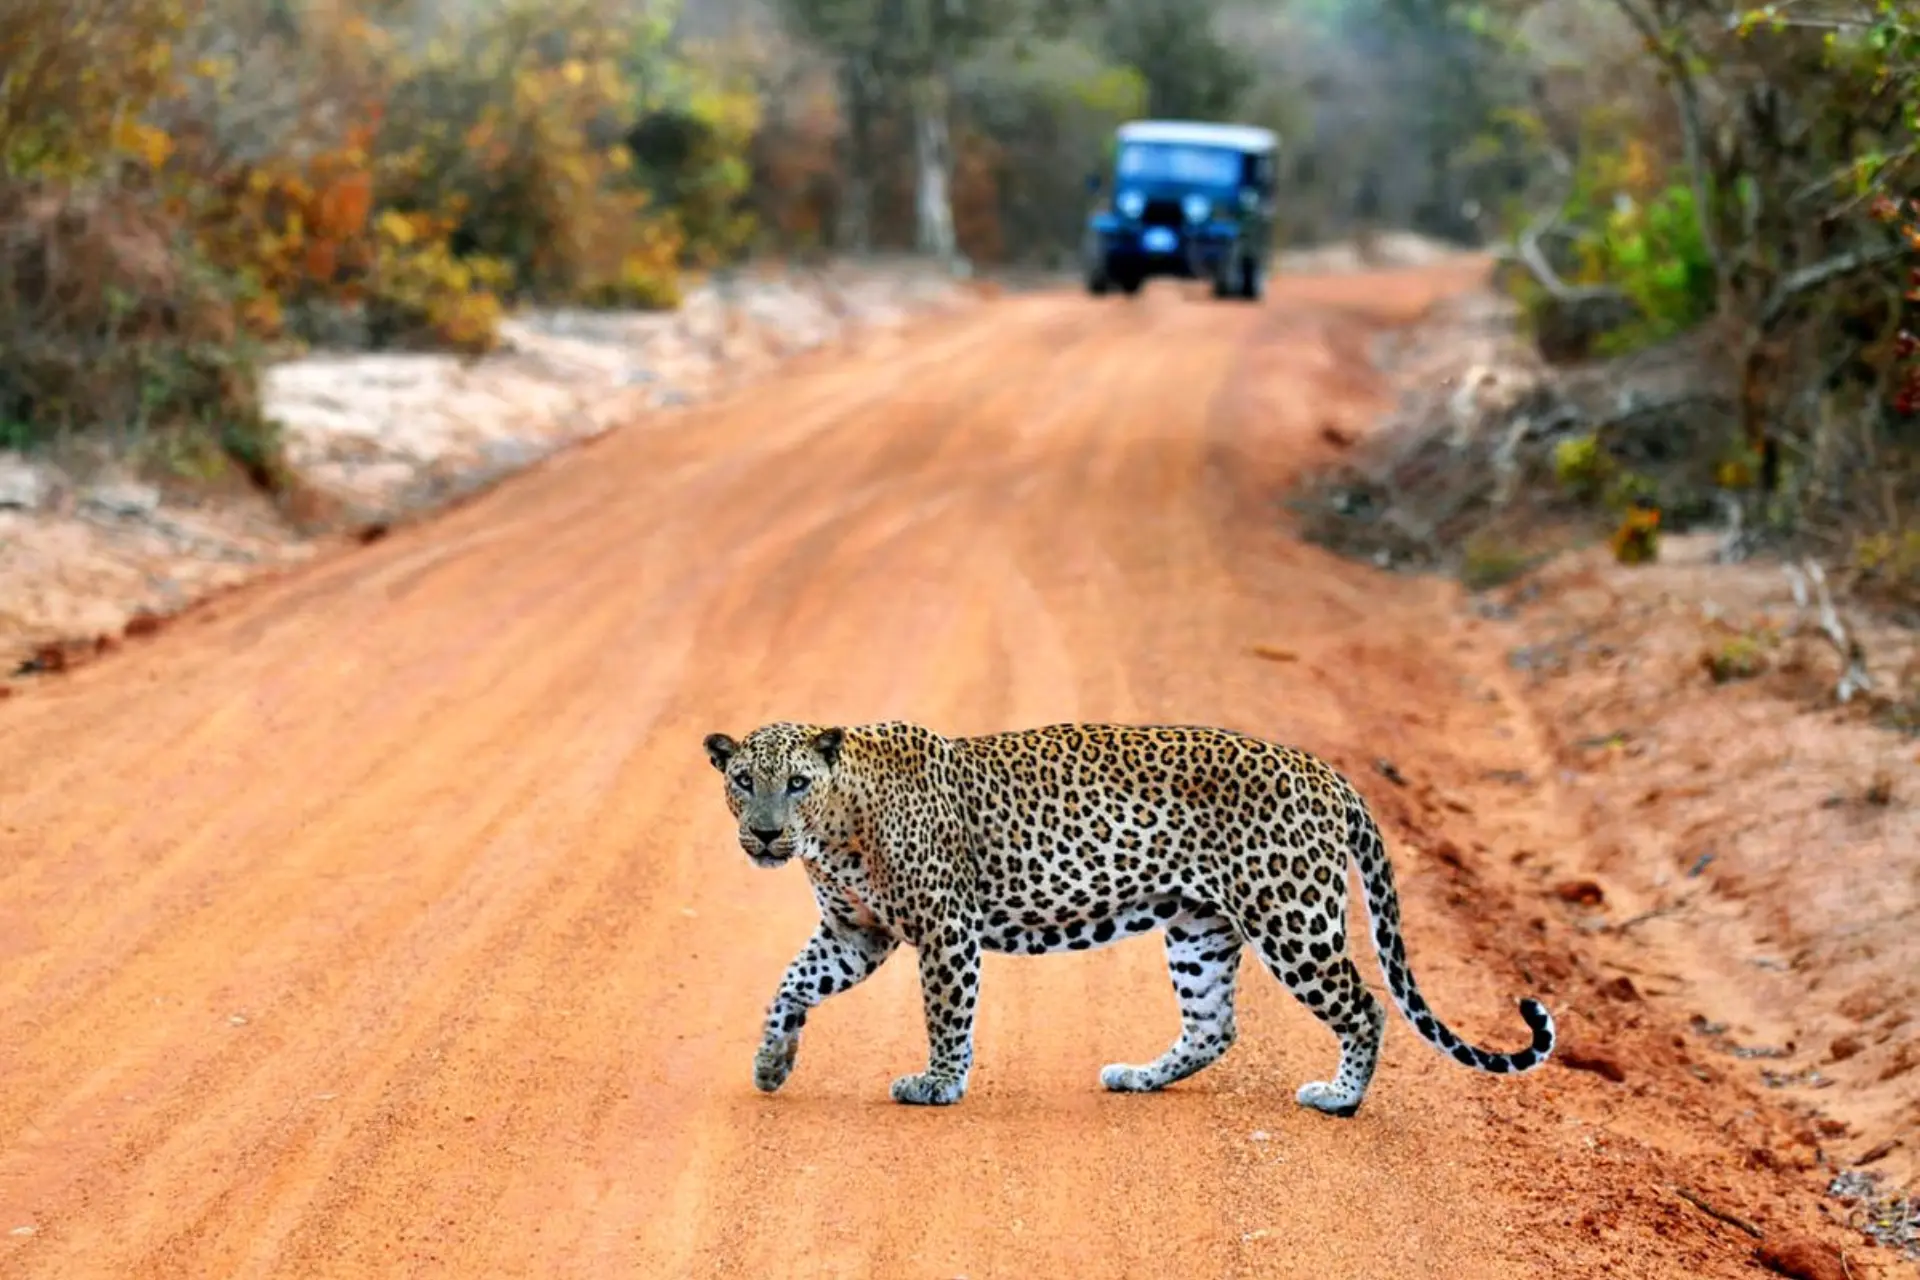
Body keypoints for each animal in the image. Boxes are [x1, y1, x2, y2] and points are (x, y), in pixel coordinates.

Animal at [701, 719, 1555, 1114]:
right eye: (744, 781)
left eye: (797, 783)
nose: (767, 833)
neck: (837, 829)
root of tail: (1326, 772)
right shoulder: (856, 934)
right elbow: (790, 985)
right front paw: (772, 1063)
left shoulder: (945, 930)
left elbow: (946, 1015)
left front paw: (938, 1084)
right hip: (1199, 927)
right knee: (1215, 1026)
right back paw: (1139, 1077)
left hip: (1291, 919)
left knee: (1366, 1005)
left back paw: (1340, 1098)